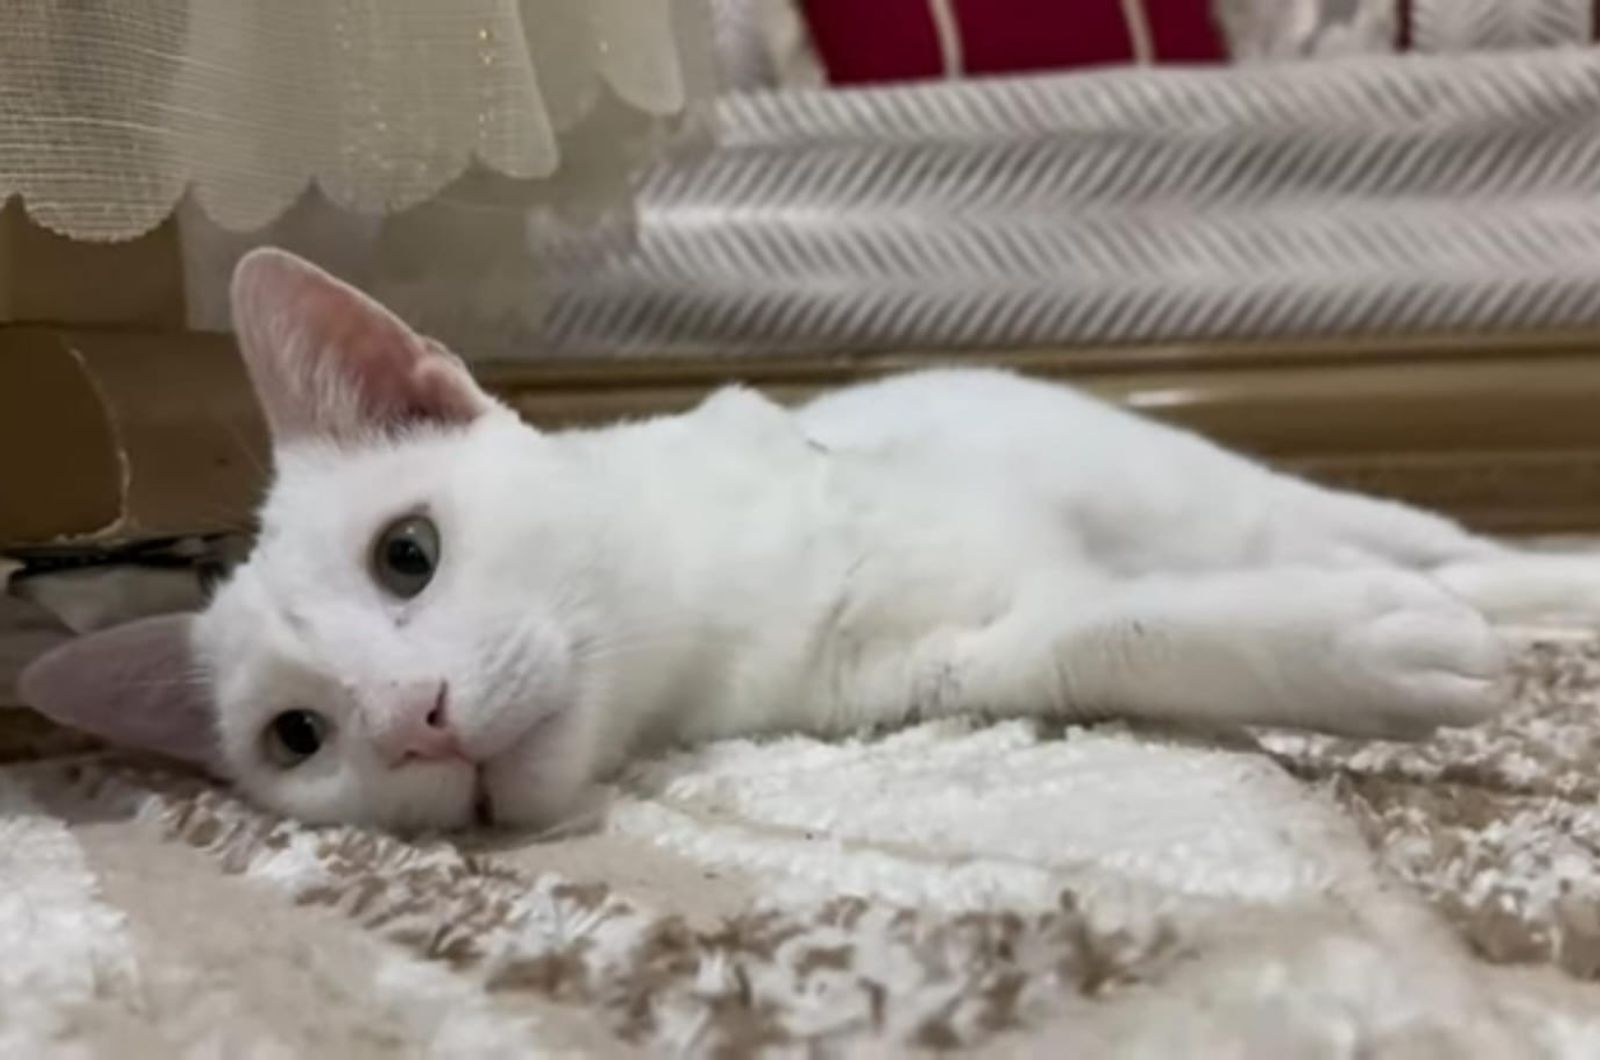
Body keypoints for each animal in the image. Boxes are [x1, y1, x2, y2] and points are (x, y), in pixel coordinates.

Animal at [15, 246, 1600, 832]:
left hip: (1231, 483)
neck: (701, 617)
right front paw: (1346, 647)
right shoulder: (949, 669)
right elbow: (1113, 629)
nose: (415, 718)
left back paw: (1537, 579)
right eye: (298, 737)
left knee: (1426, 538)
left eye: (408, 554)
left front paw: (1373, 627)